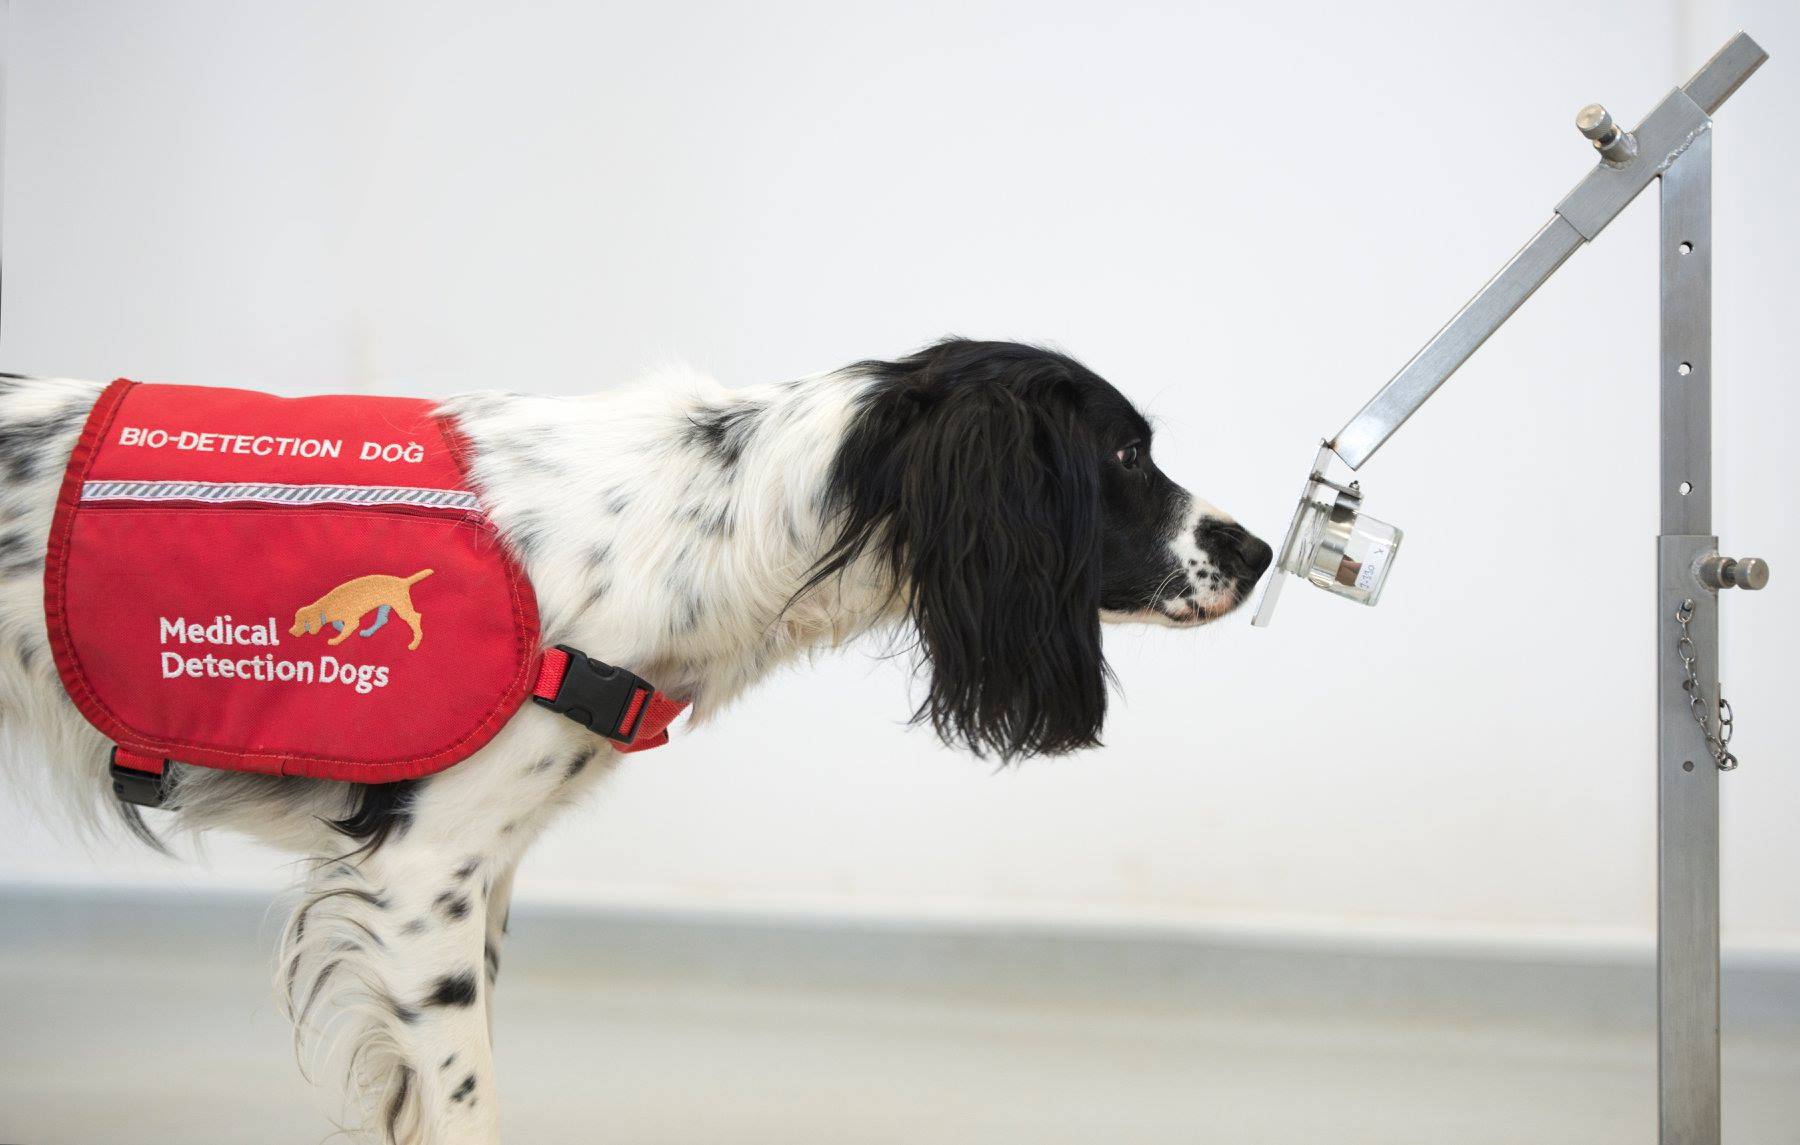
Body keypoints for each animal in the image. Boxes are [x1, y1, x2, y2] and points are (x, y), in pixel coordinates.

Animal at [295, 568, 439, 648]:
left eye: (303, 623)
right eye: (296, 621)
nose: (292, 631)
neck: (326, 606)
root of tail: (403, 581)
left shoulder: (351, 619)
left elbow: (347, 628)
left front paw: (336, 639)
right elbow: (338, 625)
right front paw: (342, 630)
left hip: (400, 605)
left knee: (414, 617)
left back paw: (415, 642)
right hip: (385, 605)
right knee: (382, 620)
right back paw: (367, 632)